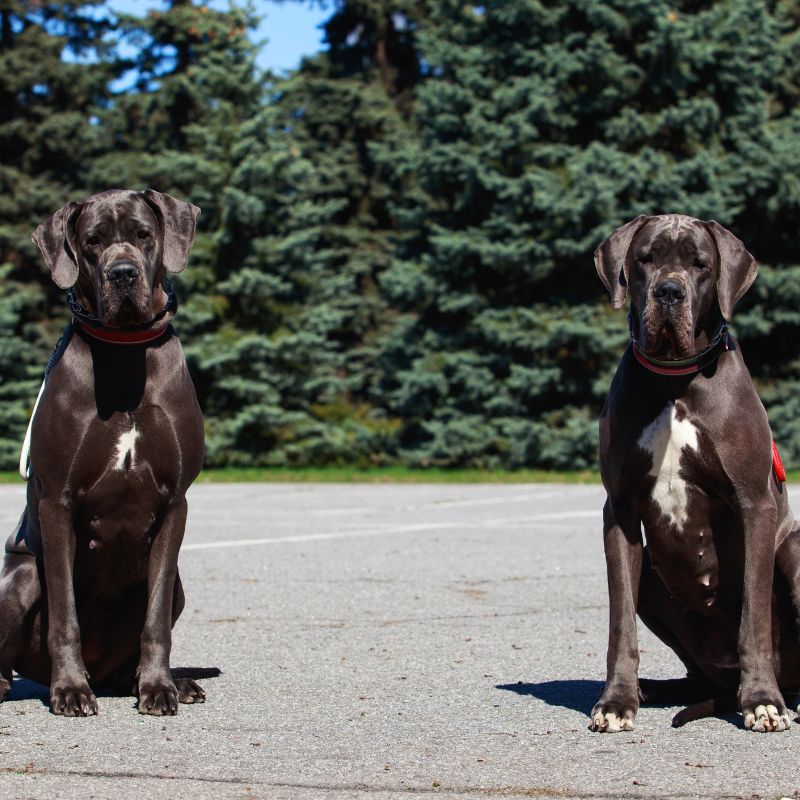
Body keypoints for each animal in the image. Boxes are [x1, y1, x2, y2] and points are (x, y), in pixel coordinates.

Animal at [0, 189, 209, 720]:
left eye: (143, 234)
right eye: (92, 241)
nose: (123, 274)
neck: (124, 348)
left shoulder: (175, 503)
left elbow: (154, 620)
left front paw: (158, 687)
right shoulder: (56, 501)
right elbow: (65, 615)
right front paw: (71, 690)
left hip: (178, 586)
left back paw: (169, 682)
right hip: (20, 579)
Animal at [592, 212, 800, 732]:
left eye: (700, 264)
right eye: (645, 259)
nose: (669, 292)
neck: (674, 378)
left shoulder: (755, 504)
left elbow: (753, 614)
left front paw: (761, 699)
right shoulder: (619, 511)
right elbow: (620, 620)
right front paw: (616, 700)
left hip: (795, 548)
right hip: (652, 577)